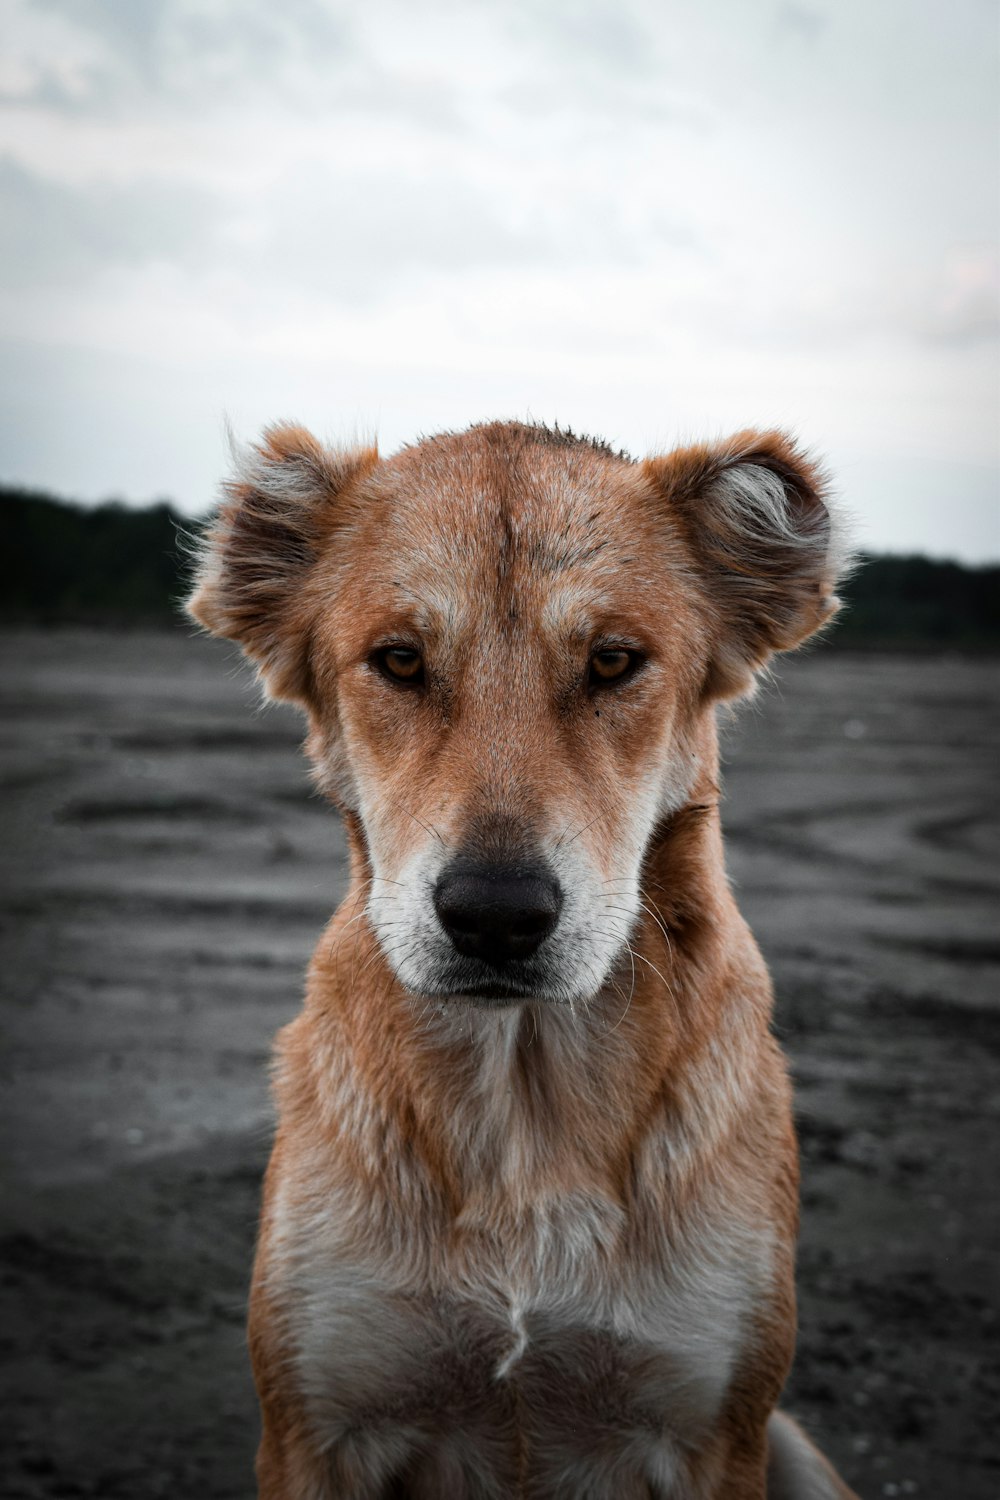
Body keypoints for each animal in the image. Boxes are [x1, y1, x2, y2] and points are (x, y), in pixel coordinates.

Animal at [187, 420, 863, 1500]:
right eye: (399, 660)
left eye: (614, 661)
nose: (496, 917)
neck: (523, 1103)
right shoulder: (312, 1428)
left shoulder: (717, 1432)